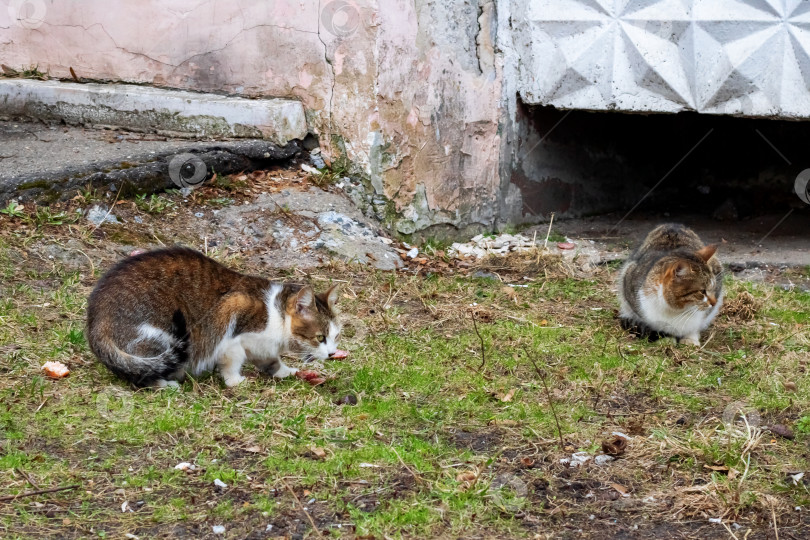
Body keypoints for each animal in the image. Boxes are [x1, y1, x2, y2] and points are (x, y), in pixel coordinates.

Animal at [87, 249, 340, 388]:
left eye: (336, 336)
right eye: (320, 337)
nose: (332, 353)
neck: (275, 316)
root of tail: (96, 321)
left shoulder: (261, 347)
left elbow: (270, 361)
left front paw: (286, 371)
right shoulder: (231, 317)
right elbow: (232, 359)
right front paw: (234, 381)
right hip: (158, 336)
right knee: (143, 371)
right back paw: (164, 384)